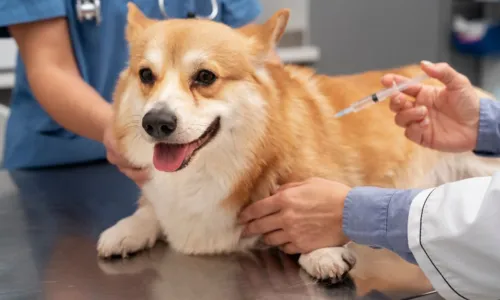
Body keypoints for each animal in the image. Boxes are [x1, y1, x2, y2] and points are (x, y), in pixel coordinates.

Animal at [97, 3, 500, 282]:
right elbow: (149, 210)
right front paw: (125, 230)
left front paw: (322, 253)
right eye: (146, 75)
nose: (156, 122)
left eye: (205, 77)